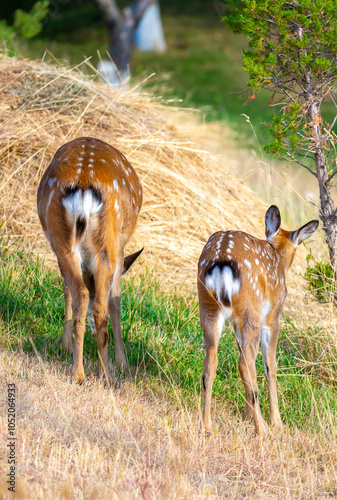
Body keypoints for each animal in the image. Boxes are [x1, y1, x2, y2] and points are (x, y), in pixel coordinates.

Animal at [37, 136, 142, 382]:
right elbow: (115, 301)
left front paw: (65, 345)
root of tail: (84, 184)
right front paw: (122, 363)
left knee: (80, 294)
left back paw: (78, 373)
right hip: (108, 242)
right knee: (100, 306)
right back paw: (108, 376)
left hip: (62, 241)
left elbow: (67, 289)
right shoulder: (120, 248)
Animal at [197, 205, 318, 436]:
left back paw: (207, 426)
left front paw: (246, 416)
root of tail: (221, 262)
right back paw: (262, 430)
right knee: (245, 364)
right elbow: (271, 366)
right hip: (250, 310)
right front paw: (277, 422)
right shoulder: (272, 316)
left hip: (209, 308)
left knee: (211, 365)